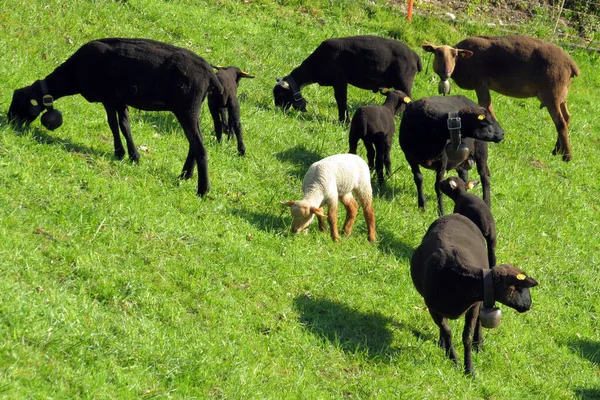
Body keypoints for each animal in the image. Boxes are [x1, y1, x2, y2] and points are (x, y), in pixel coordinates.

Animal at [7, 36, 223, 196]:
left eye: (18, 103)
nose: (8, 123)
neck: (73, 74)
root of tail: (209, 73)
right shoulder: (120, 101)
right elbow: (125, 125)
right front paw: (134, 156)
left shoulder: (108, 97)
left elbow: (113, 124)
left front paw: (119, 152)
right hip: (191, 109)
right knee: (195, 142)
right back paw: (185, 175)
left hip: (186, 108)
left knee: (200, 147)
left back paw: (202, 190)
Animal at [274, 34, 422, 122]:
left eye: (280, 94)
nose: (277, 109)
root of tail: (416, 57)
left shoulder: (340, 81)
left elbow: (341, 100)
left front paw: (344, 122)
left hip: (403, 82)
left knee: (408, 100)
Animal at [412, 216, 540, 376]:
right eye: (520, 288)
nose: (529, 305)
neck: (460, 280)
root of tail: (452, 216)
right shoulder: (433, 308)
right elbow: (447, 331)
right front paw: (453, 358)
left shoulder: (473, 306)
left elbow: (467, 335)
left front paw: (469, 369)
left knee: (479, 320)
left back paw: (478, 344)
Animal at [424, 34, 580, 162]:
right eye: (438, 54)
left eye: (455, 55)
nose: (446, 72)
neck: (462, 63)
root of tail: (571, 65)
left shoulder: (480, 82)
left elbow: (486, 106)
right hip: (561, 95)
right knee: (567, 118)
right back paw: (557, 150)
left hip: (552, 94)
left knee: (560, 122)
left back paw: (567, 156)